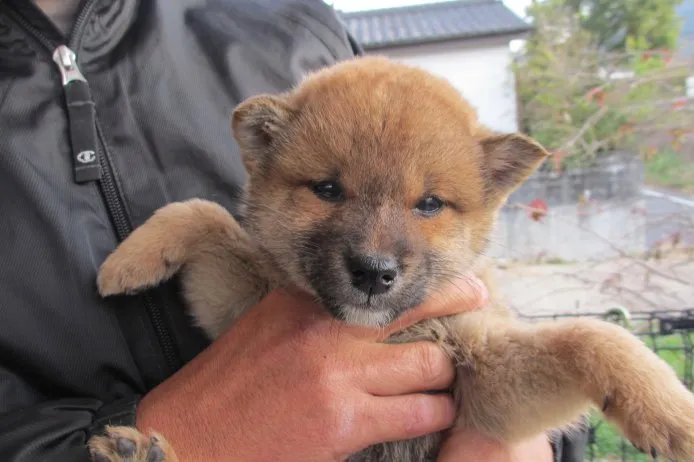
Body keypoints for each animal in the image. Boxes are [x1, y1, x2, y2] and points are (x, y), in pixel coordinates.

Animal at [89, 57, 694, 462]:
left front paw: (670, 411)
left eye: (429, 204)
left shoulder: (479, 380)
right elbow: (203, 211)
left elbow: (592, 336)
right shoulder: (239, 303)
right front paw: (128, 259)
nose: (373, 272)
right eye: (327, 189)